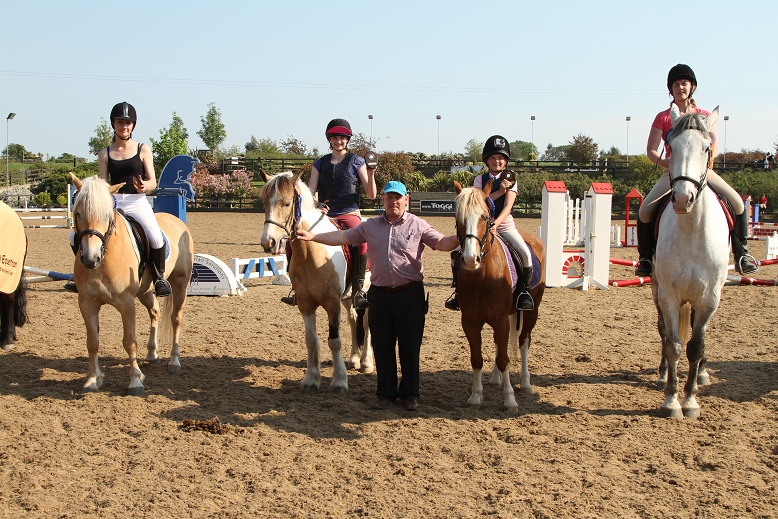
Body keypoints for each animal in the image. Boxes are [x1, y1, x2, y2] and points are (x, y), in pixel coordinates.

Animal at [70, 174, 194, 395]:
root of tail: (176, 220)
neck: (105, 258)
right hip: (145, 291)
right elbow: (92, 342)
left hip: (180, 284)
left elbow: (129, 342)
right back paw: (152, 355)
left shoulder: (126, 304)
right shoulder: (87, 303)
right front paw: (92, 380)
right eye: (77, 213)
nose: (90, 259)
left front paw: (135, 381)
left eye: (106, 215)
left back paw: (174, 361)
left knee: (175, 319)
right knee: (155, 312)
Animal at [259, 170, 372, 392]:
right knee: (354, 319)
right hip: (348, 298)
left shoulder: (332, 303)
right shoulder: (305, 304)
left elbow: (334, 341)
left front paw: (339, 381)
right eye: (265, 203)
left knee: (366, 323)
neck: (312, 252)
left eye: (287, 203)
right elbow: (311, 340)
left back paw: (365, 363)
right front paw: (311, 379)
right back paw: (354, 359)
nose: (269, 243)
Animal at [453, 180, 546, 411]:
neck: (482, 276)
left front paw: (510, 398)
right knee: (498, 344)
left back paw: (525, 383)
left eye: (485, 217)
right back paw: (496, 378)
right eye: (458, 218)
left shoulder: (502, 320)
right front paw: (476, 396)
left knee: (523, 341)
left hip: (531, 312)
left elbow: (505, 359)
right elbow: (477, 359)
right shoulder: (470, 321)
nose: (470, 259)